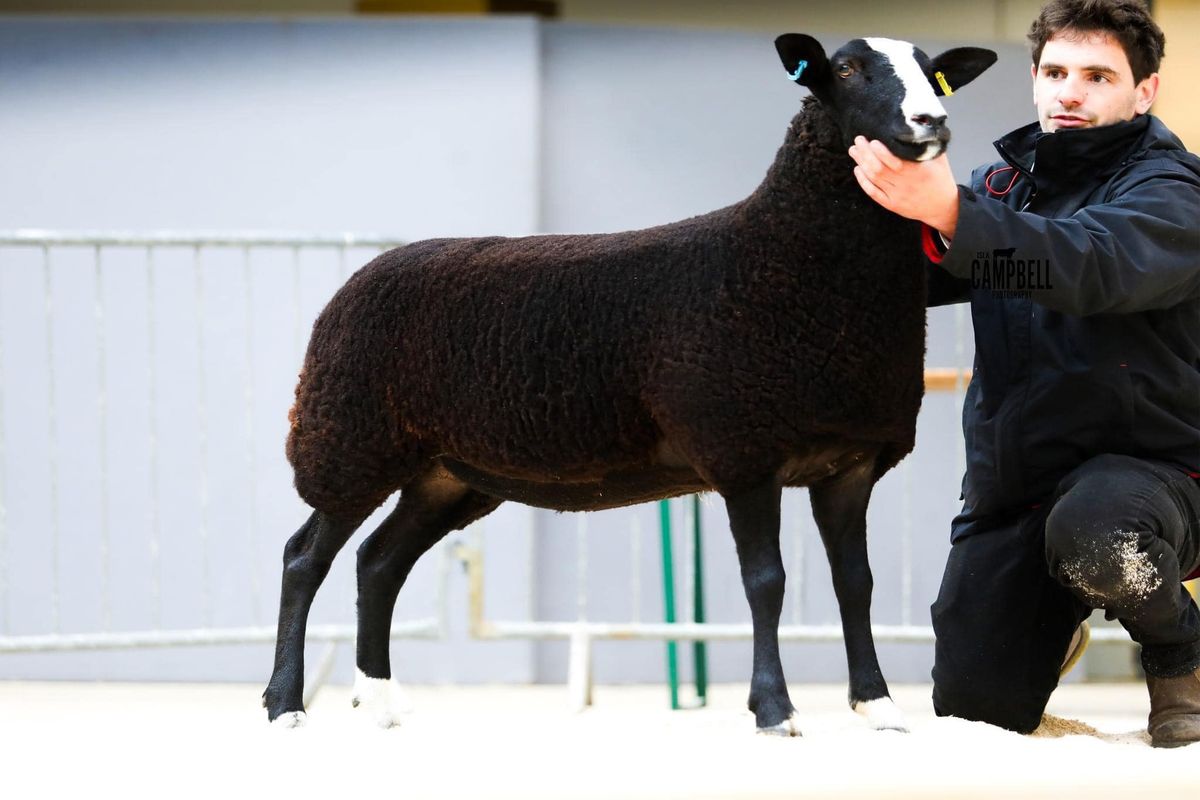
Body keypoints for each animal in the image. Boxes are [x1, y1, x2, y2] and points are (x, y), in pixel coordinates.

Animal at [270, 34, 993, 734]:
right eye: (844, 70)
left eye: (932, 72)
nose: (930, 121)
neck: (783, 258)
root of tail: (364, 274)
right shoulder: (742, 448)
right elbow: (766, 582)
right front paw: (773, 709)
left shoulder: (849, 461)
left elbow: (856, 583)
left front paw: (877, 704)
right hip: (350, 440)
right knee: (305, 558)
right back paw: (285, 705)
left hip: (446, 473)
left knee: (378, 562)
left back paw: (381, 699)